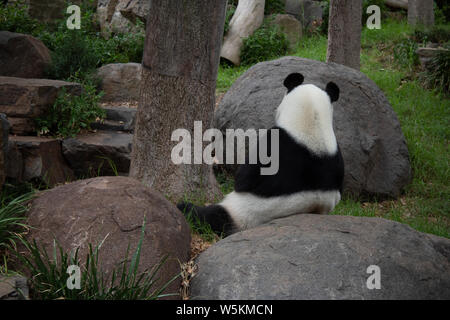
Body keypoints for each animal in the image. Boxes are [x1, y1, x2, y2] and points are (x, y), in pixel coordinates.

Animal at [177, 73, 344, 238]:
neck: (313, 124)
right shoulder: (336, 155)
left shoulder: (275, 146)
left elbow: (244, 179)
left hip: (240, 212)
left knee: (209, 216)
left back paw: (185, 207)